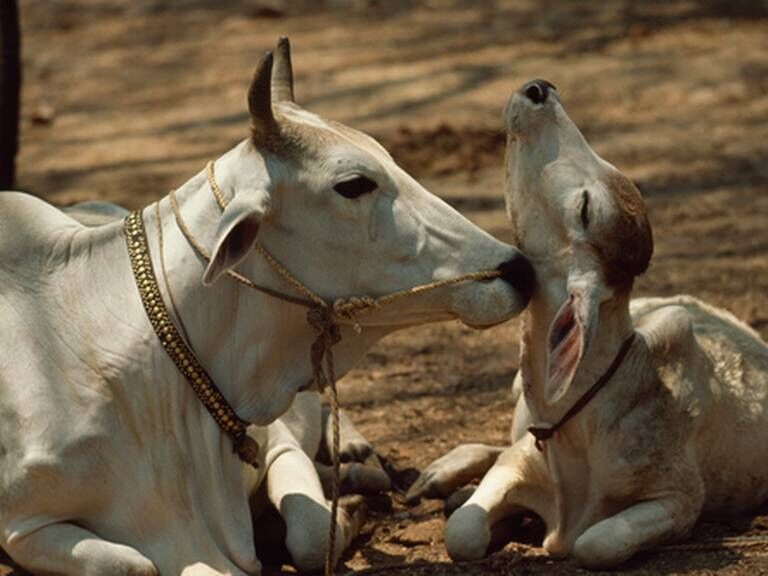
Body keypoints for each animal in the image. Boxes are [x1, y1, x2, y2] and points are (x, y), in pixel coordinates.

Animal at [0, 38, 536, 572]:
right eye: (354, 184)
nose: (518, 270)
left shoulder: (275, 442)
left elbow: (311, 532)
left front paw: (350, 511)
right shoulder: (22, 526)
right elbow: (136, 562)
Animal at [412, 80, 768, 568]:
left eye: (585, 208)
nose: (539, 89)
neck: (576, 430)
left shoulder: (679, 498)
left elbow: (594, 544)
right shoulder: (519, 460)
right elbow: (462, 532)